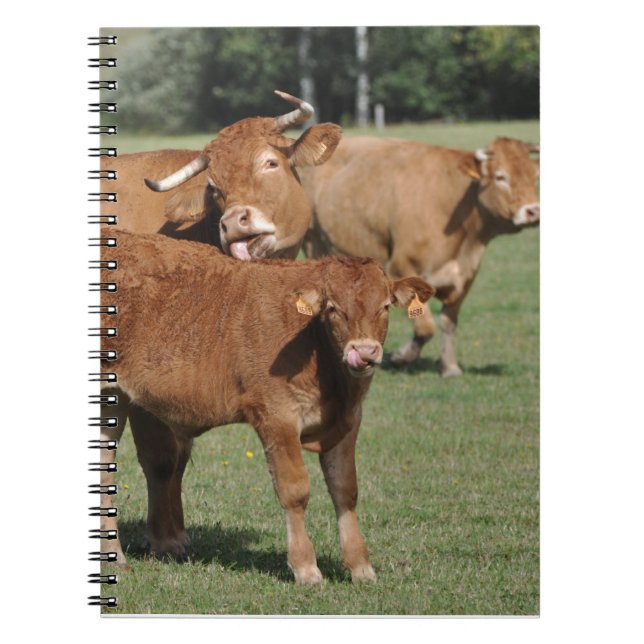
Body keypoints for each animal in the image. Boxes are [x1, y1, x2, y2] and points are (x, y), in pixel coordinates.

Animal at [97, 92, 342, 566]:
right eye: (214, 187)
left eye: (270, 162)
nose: (236, 221)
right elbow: (161, 457)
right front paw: (165, 540)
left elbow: (178, 457)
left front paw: (173, 534)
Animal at [100, 229, 434, 584]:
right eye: (333, 308)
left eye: (385, 306)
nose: (365, 352)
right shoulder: (277, 417)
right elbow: (295, 491)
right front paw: (306, 567)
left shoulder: (349, 421)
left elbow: (346, 490)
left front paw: (360, 566)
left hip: (114, 401)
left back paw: (115, 557)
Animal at [300, 136, 540, 377]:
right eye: (501, 176)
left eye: (535, 177)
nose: (533, 211)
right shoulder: (402, 268)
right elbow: (426, 327)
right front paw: (401, 356)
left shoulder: (464, 278)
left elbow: (448, 322)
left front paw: (449, 367)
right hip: (313, 242)